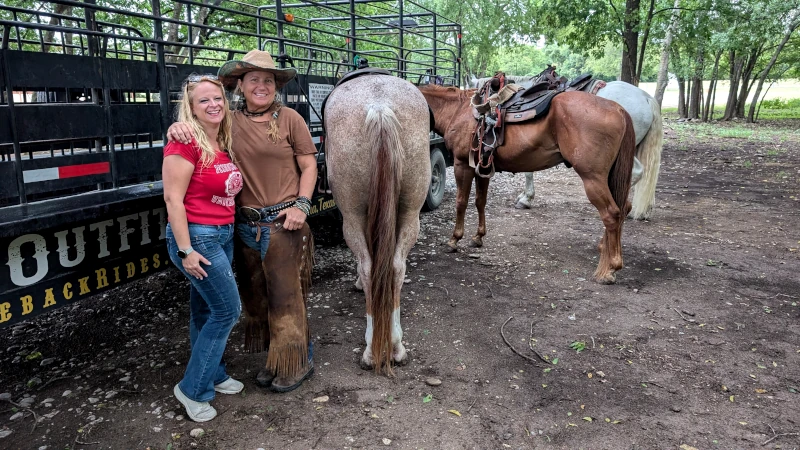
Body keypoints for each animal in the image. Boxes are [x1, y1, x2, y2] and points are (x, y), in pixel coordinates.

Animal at [324, 74, 432, 374]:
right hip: (410, 212)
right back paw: (395, 345)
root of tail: (380, 106)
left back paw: (372, 350)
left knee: (369, 267)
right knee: (395, 266)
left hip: (351, 217)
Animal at [418, 82, 636, 284]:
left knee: (611, 214)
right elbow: (480, 202)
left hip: (593, 178)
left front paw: (454, 239)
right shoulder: (482, 168)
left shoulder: (462, 165)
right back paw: (605, 252)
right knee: (623, 207)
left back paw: (610, 269)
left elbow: (461, 202)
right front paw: (478, 237)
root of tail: (617, 108)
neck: (458, 110)